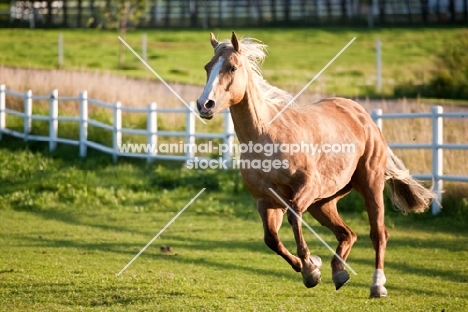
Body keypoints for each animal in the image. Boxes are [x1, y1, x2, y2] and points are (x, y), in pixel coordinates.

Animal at [197, 31, 436, 298]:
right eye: (208, 67)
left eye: (232, 67)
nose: (204, 105)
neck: (265, 135)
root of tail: (363, 117)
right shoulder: (266, 201)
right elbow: (271, 239)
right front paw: (311, 267)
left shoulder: (305, 187)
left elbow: (293, 218)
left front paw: (311, 269)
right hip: (323, 202)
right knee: (348, 234)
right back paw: (339, 273)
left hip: (369, 185)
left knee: (378, 234)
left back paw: (377, 285)